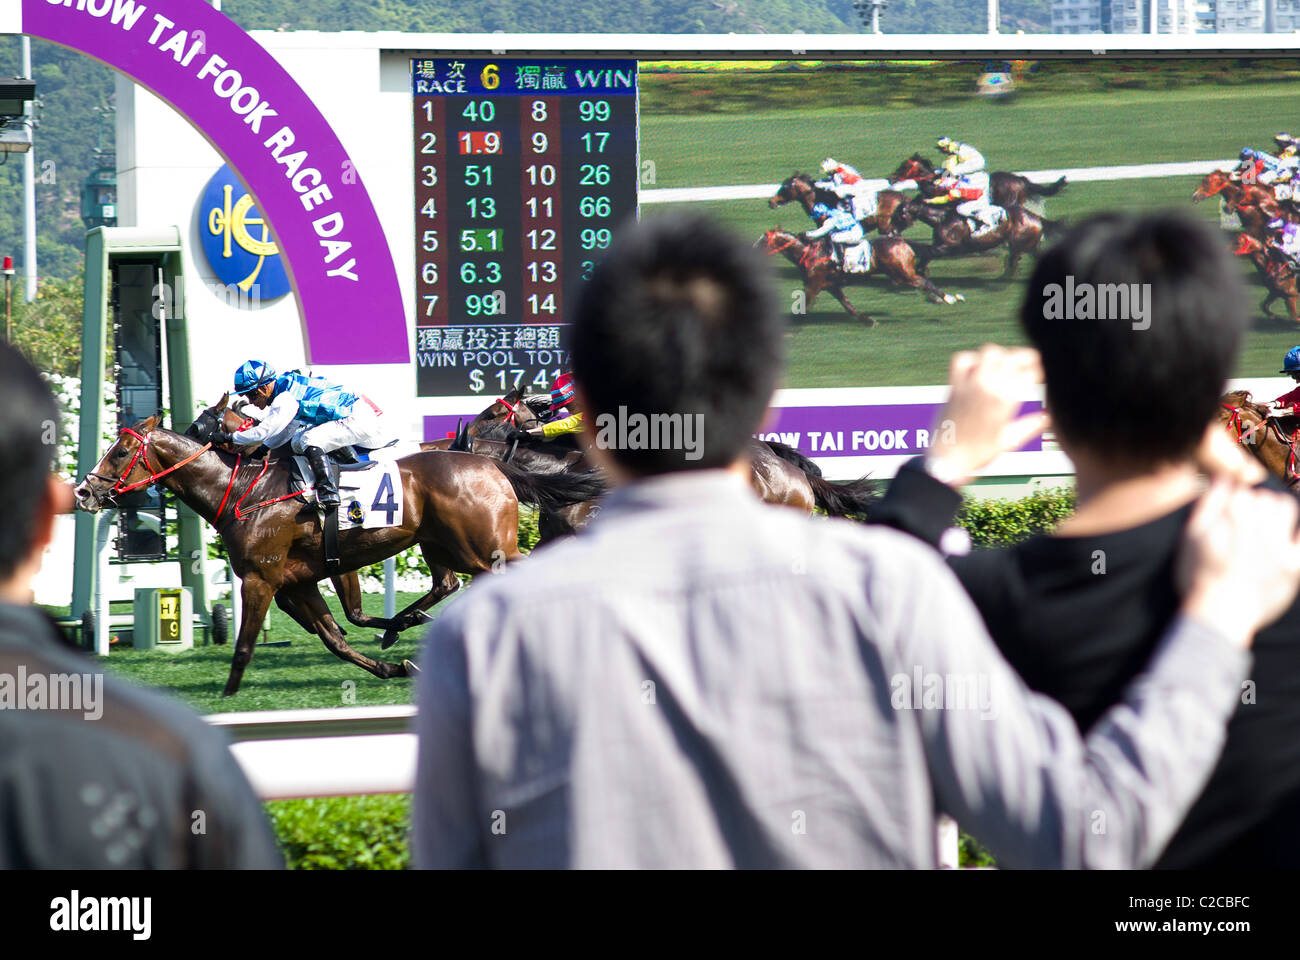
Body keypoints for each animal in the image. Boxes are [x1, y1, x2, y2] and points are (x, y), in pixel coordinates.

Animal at [79, 408, 603, 692]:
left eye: (120, 452)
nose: (85, 491)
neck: (246, 487)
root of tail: (491, 465)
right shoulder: (298, 581)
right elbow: (337, 635)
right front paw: (396, 661)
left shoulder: (262, 578)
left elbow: (247, 644)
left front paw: (227, 696)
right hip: (447, 546)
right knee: (450, 583)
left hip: (483, 550)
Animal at [759, 227, 961, 321]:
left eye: (762, 242)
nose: (753, 250)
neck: (809, 253)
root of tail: (902, 242)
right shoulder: (831, 286)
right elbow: (847, 305)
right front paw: (867, 320)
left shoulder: (813, 286)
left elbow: (804, 307)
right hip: (901, 274)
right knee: (924, 281)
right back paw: (939, 298)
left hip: (902, 275)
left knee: (925, 283)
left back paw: (949, 297)